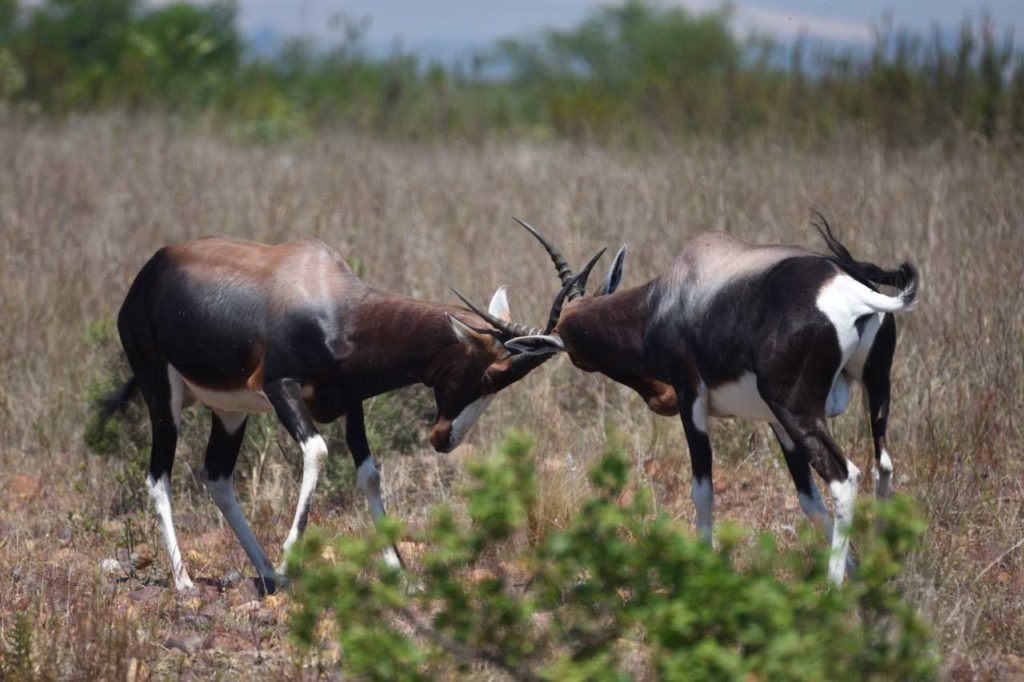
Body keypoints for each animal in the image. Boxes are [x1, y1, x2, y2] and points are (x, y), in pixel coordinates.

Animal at [104, 237, 589, 589]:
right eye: (490, 375)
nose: (444, 439)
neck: (331, 299)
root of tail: (146, 277)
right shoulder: (280, 388)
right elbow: (317, 452)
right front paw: (291, 563)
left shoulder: (350, 402)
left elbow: (369, 473)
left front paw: (398, 573)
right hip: (161, 395)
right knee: (158, 476)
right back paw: (186, 581)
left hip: (228, 410)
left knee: (217, 477)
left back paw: (264, 572)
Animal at [460, 215, 917, 581]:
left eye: (577, 356)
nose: (658, 398)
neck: (677, 289)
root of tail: (853, 292)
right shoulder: (773, 421)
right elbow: (809, 500)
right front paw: (857, 572)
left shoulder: (691, 400)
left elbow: (703, 491)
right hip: (871, 394)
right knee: (883, 466)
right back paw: (881, 573)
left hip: (799, 411)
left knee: (845, 477)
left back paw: (831, 589)